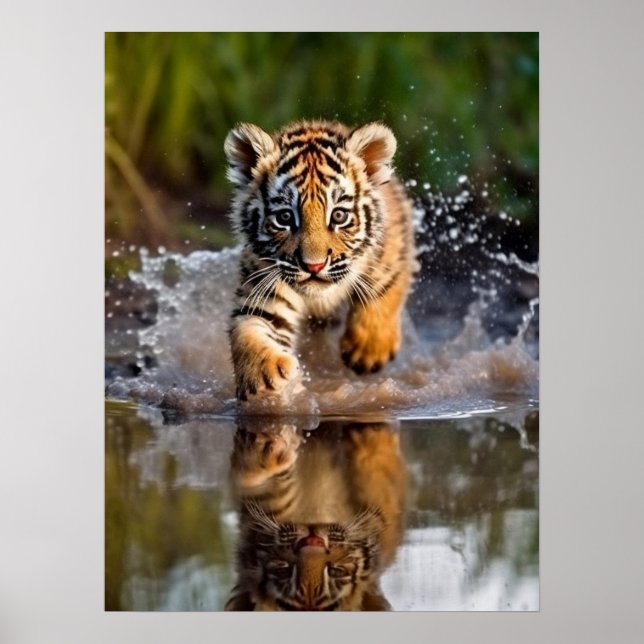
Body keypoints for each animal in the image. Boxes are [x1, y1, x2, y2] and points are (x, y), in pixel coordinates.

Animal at [224, 120, 417, 400]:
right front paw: (263, 373)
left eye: (338, 216)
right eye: (284, 218)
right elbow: (250, 329)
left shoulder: (392, 252)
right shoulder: (265, 284)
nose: (313, 266)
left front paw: (369, 350)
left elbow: (382, 293)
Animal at [225, 420, 407, 611]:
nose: (312, 540)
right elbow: (269, 493)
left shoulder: (381, 517)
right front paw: (266, 451)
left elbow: (379, 486)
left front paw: (369, 436)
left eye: (337, 572)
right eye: (283, 571)